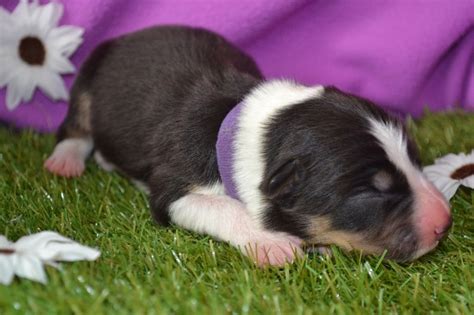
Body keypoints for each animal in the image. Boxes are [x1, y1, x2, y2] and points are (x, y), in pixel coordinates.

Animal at [44, 25, 452, 266]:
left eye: (416, 161)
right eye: (371, 193)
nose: (444, 224)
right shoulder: (173, 188)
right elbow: (225, 208)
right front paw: (272, 241)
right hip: (88, 75)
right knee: (75, 127)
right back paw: (65, 160)